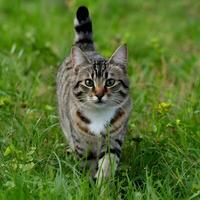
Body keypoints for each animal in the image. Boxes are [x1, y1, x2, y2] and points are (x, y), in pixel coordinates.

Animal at [56, 5, 131, 184]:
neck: (98, 115)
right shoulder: (83, 145)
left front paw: (102, 185)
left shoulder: (113, 140)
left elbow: (107, 164)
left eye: (110, 82)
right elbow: (87, 166)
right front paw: (87, 185)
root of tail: (87, 48)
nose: (99, 94)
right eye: (89, 82)